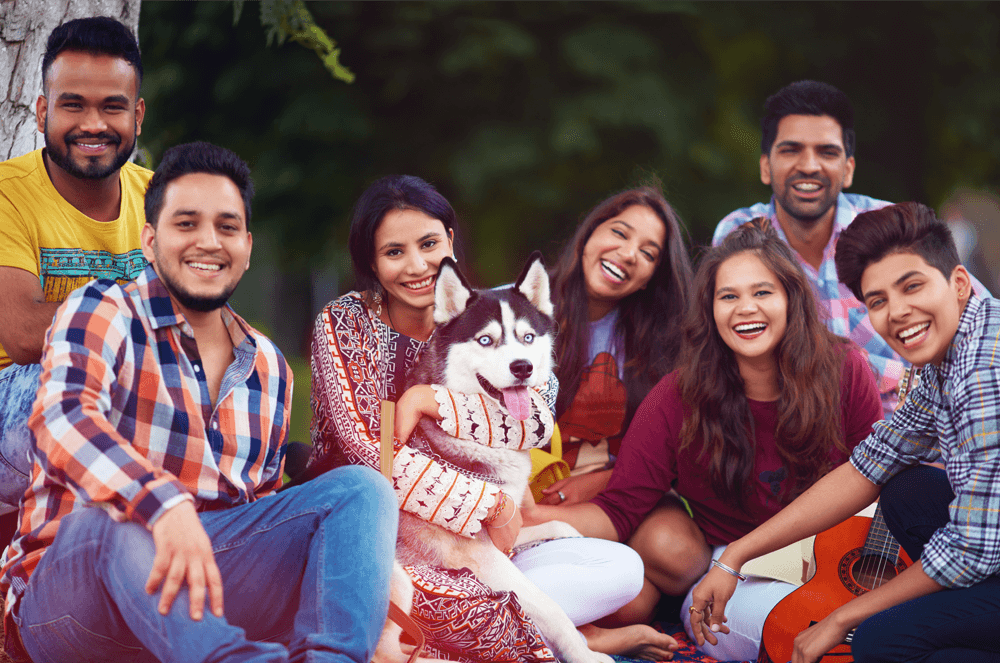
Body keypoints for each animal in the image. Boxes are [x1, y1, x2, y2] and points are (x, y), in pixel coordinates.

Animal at [388, 252, 608, 663]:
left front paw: (566, 531)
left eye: (527, 337)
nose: (522, 367)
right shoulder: (483, 559)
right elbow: (550, 607)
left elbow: (549, 526)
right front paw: (583, 654)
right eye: (486, 340)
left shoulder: (504, 535)